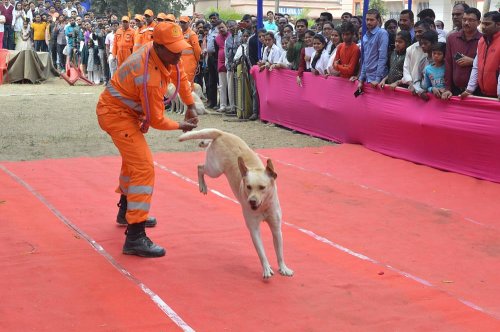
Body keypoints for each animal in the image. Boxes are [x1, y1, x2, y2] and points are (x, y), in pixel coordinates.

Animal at [179, 128, 292, 278]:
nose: (252, 201)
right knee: (200, 167)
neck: (262, 207)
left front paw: (283, 267)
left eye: (262, 187)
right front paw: (266, 268)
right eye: (248, 186)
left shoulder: (276, 228)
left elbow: (279, 251)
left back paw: (204, 142)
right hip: (214, 169)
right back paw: (202, 185)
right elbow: (261, 252)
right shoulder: (254, 229)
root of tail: (222, 133)